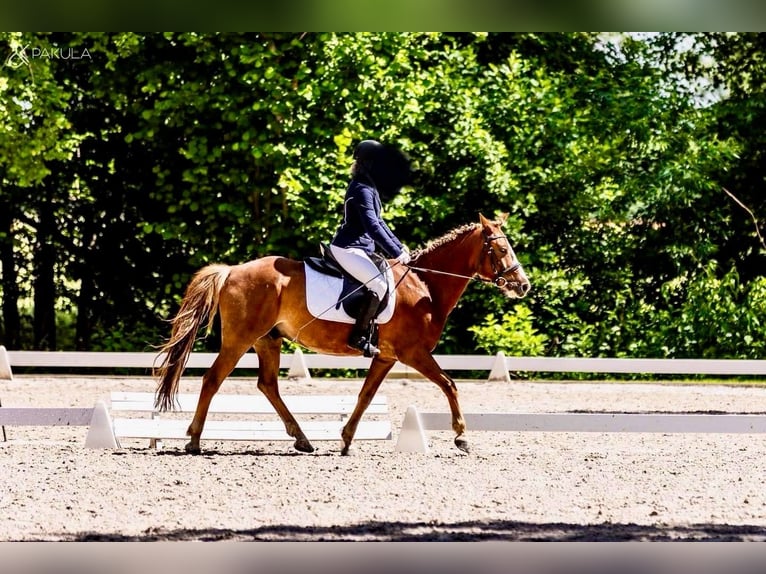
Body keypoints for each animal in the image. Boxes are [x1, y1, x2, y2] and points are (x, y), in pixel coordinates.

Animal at [154, 212, 530, 455]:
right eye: (500, 250)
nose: (523, 285)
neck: (426, 286)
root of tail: (231, 270)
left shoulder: (387, 357)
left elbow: (365, 396)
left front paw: (347, 440)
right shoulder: (413, 353)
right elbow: (450, 385)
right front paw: (462, 437)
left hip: (267, 340)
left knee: (268, 385)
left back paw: (303, 440)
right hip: (240, 340)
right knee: (212, 380)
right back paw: (194, 441)